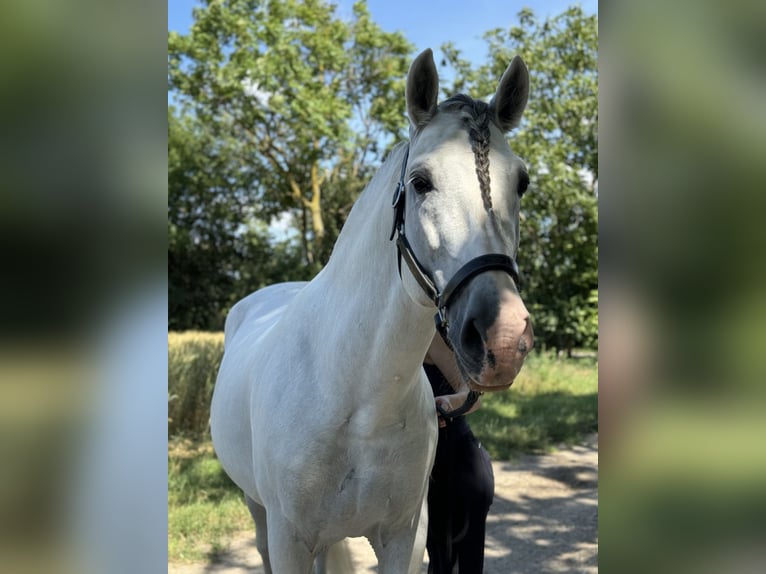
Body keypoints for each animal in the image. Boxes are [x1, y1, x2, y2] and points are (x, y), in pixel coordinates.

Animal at [210, 50, 536, 574]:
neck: (357, 399)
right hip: (258, 510)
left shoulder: (405, 535)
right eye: (420, 182)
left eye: (521, 183)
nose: (502, 338)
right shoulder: (289, 539)